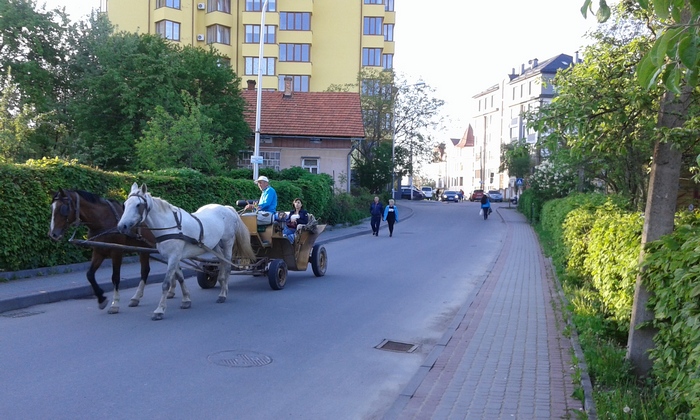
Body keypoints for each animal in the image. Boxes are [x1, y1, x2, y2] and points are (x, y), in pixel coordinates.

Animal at [117, 182, 258, 320]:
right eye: (125, 204)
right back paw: (221, 282)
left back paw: (223, 294)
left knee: (227, 266)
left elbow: (166, 283)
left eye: (138, 205)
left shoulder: (173, 257)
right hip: (215, 245)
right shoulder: (172, 257)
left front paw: (159, 310)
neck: (169, 226)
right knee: (221, 263)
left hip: (228, 242)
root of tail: (227, 208)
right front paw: (186, 300)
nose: (121, 226)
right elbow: (180, 278)